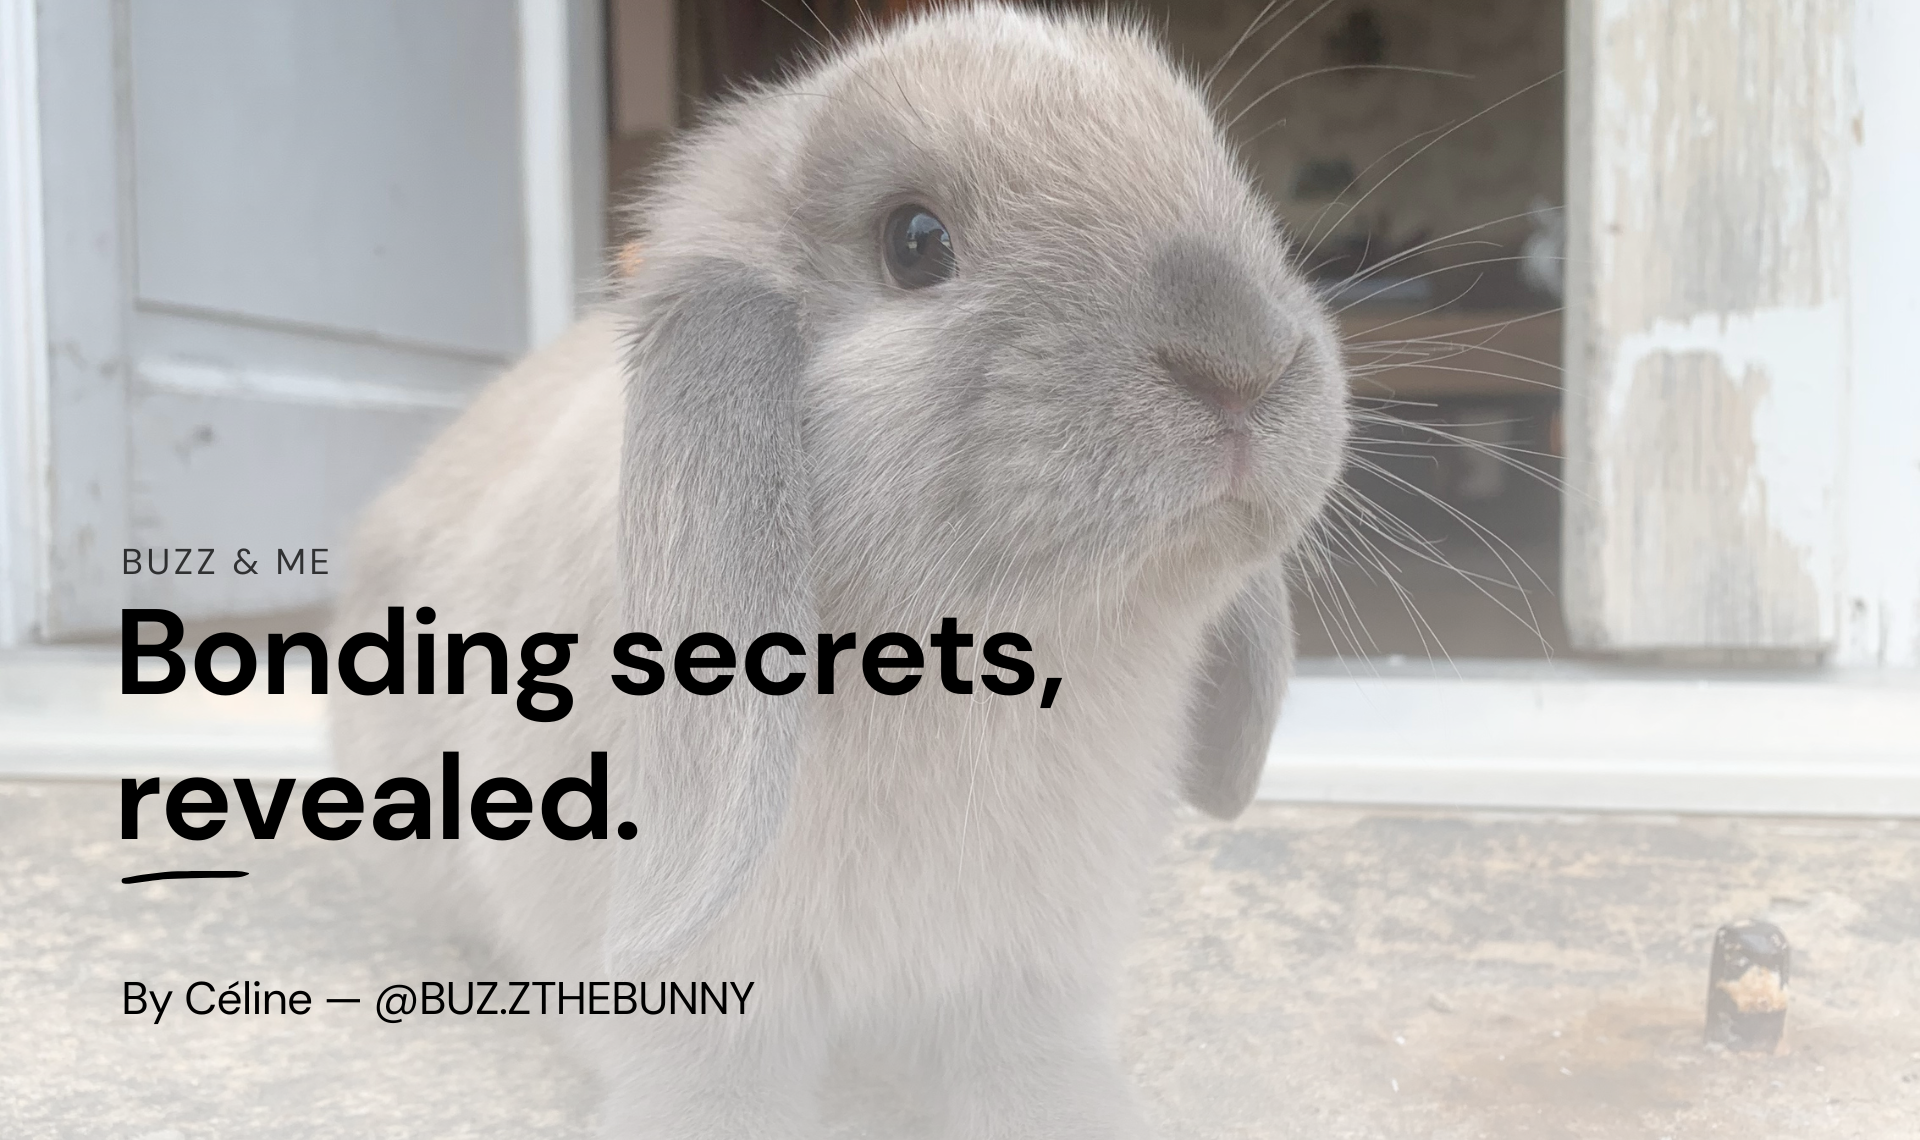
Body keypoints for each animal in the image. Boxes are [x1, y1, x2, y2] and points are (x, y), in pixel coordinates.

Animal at [331, 4, 1349, 1137]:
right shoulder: (693, 976)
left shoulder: (1030, 967)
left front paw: (1080, 1111)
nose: (1246, 359)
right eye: (915, 243)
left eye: (1224, 176)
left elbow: (1028, 1059)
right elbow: (708, 1073)